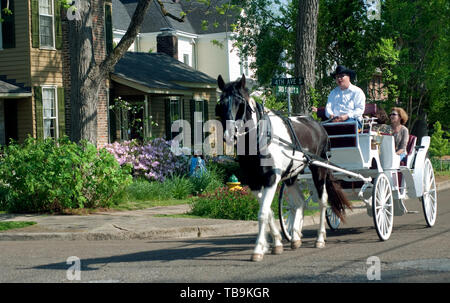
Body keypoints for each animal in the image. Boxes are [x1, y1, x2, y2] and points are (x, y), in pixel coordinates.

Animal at [215, 75, 352, 262]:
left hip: (319, 169)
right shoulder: (253, 182)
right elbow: (268, 211)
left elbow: (263, 213)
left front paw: (258, 249)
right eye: (221, 104)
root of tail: (318, 125)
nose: (230, 135)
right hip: (292, 175)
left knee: (323, 201)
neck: (260, 139)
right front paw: (277, 242)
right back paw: (295, 238)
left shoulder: (272, 178)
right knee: (300, 202)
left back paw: (319, 238)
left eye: (240, 103)